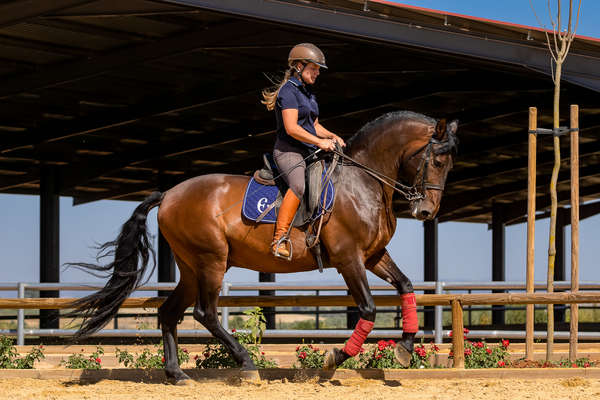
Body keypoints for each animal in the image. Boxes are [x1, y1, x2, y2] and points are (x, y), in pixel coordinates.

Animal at [68, 111, 458, 382]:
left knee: (170, 313)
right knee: (205, 313)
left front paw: (405, 349)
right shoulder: (349, 258)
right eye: (438, 161)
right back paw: (247, 365)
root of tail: (168, 194)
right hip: (211, 260)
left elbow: (406, 286)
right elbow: (368, 309)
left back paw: (178, 375)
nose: (426, 211)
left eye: (449, 164)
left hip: (193, 267)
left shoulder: (374, 255)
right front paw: (334, 359)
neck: (363, 181)